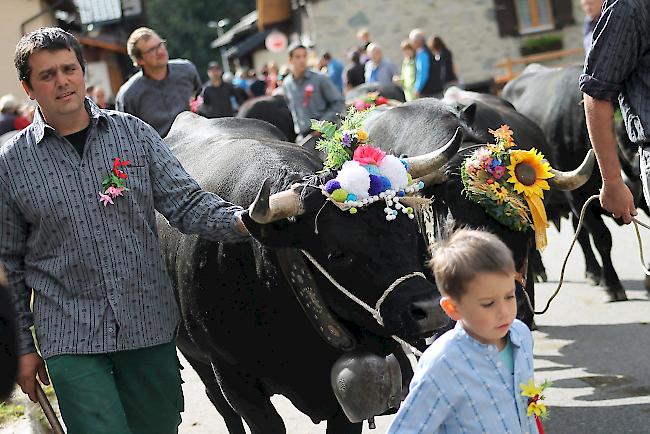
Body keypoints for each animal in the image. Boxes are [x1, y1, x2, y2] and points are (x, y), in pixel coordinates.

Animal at [159, 113, 458, 432]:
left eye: (409, 229)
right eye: (338, 254)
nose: (430, 309)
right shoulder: (235, 381)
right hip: (196, 359)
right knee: (221, 406)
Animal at [502, 64, 632, 302]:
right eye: (618, 134)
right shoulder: (578, 198)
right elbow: (602, 237)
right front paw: (612, 285)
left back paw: (593, 272)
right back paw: (540, 271)